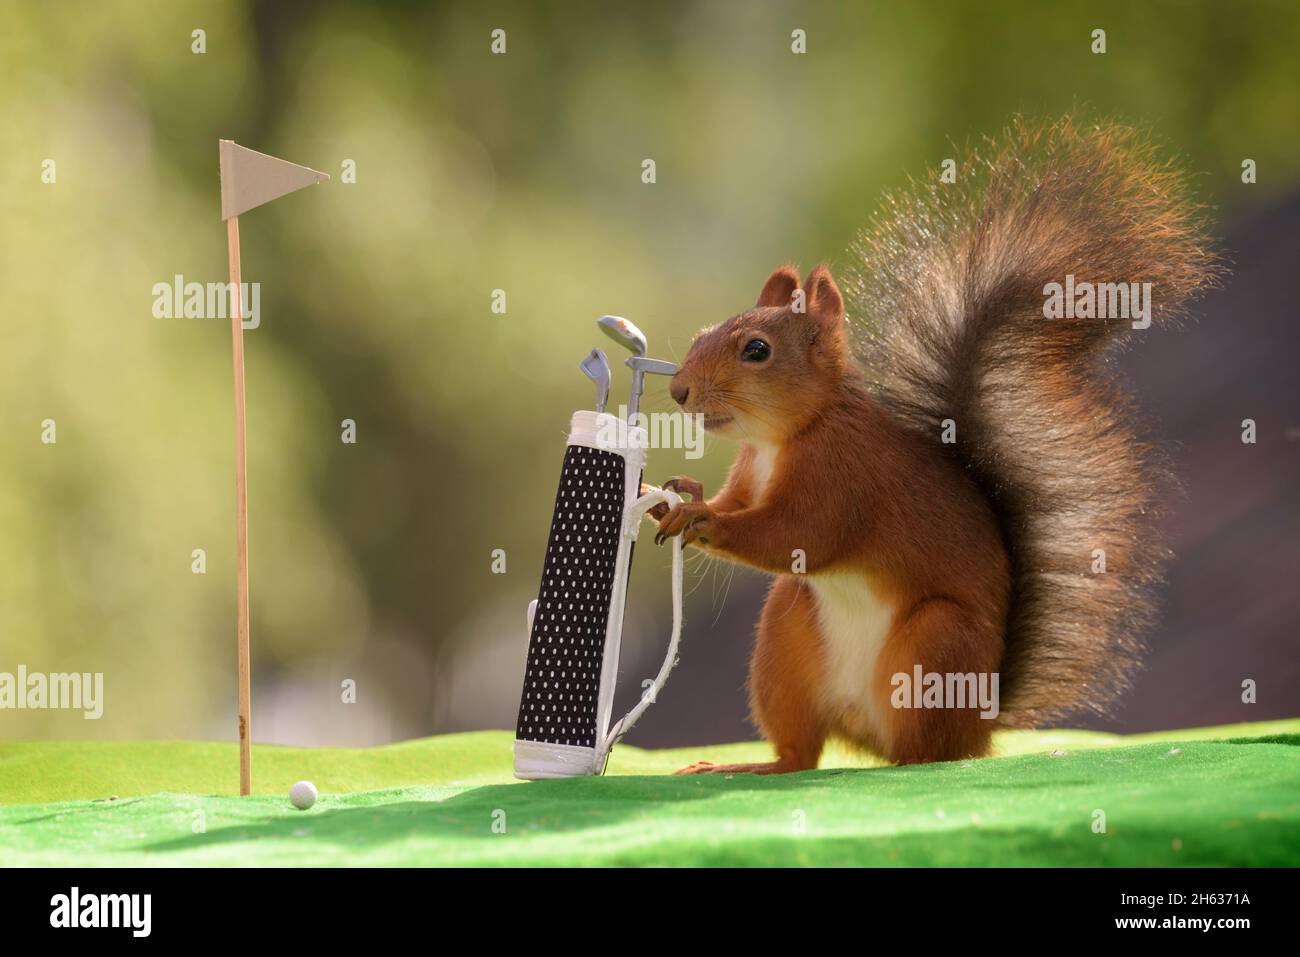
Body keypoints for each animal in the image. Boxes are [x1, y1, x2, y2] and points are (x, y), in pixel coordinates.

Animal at [655, 121, 1222, 780]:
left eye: (756, 351)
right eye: (701, 334)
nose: (678, 390)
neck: (783, 437)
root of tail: (983, 718)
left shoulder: (842, 477)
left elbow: (796, 537)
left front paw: (703, 520)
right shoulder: (751, 472)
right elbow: (741, 504)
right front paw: (681, 496)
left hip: (934, 647)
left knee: (928, 753)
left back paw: (909, 761)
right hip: (785, 639)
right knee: (802, 752)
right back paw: (753, 766)